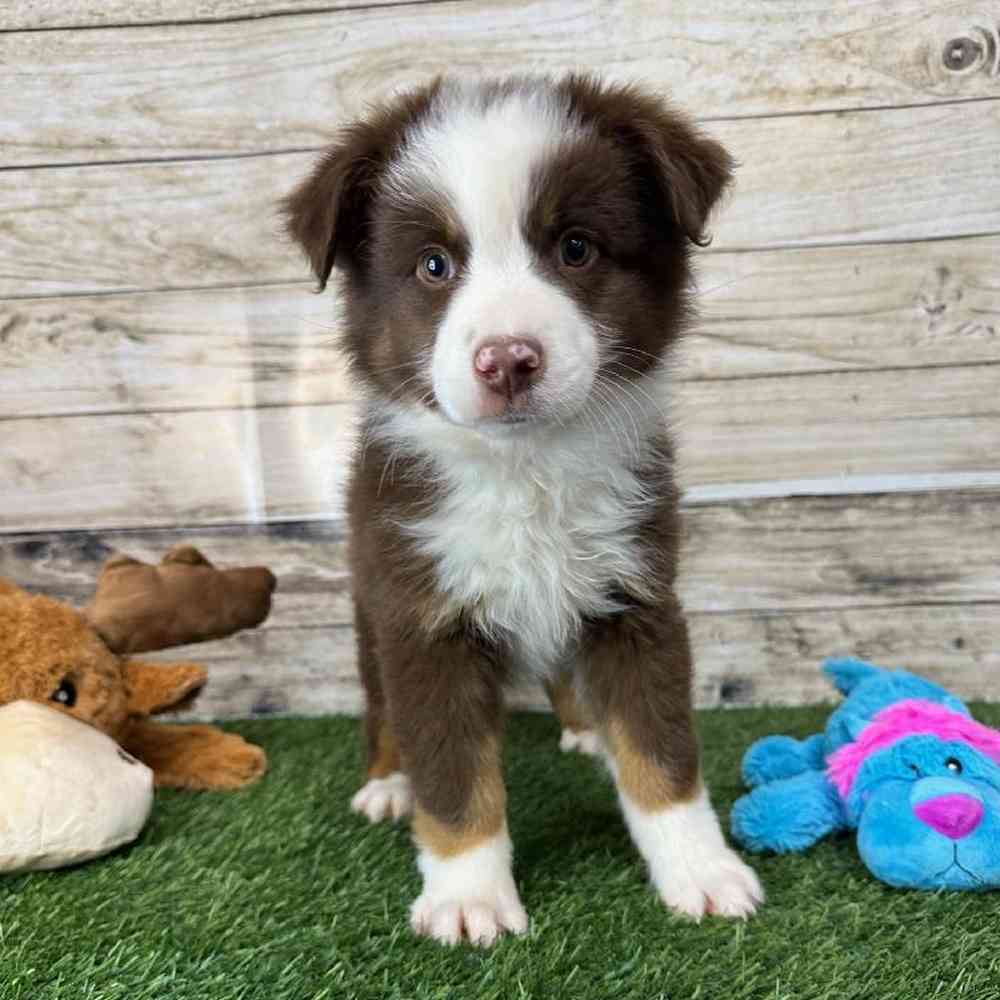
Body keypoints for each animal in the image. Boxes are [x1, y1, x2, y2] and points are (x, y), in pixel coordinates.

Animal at [282, 76, 764, 944]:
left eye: (575, 248)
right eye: (434, 265)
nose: (507, 360)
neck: (527, 469)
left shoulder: (637, 597)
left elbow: (663, 751)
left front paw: (701, 871)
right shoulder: (420, 618)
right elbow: (453, 773)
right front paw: (468, 896)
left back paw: (585, 729)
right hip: (369, 604)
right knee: (379, 706)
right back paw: (387, 782)